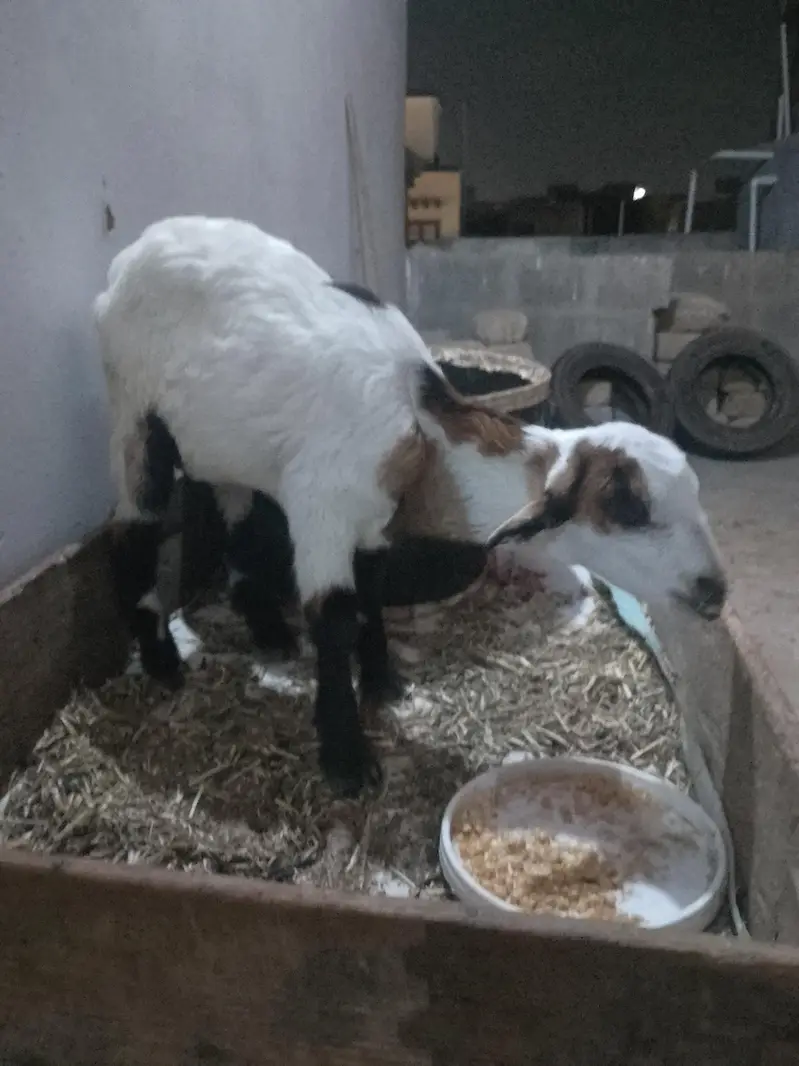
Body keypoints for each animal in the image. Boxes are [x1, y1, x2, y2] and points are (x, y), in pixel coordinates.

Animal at [94, 215, 727, 795]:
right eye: (629, 508)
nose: (714, 592)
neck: (422, 433)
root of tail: (136, 248)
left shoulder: (375, 521)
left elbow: (372, 589)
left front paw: (381, 683)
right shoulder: (322, 508)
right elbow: (335, 616)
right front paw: (346, 759)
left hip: (227, 443)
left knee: (236, 516)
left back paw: (268, 631)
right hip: (132, 412)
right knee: (133, 527)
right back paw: (161, 660)